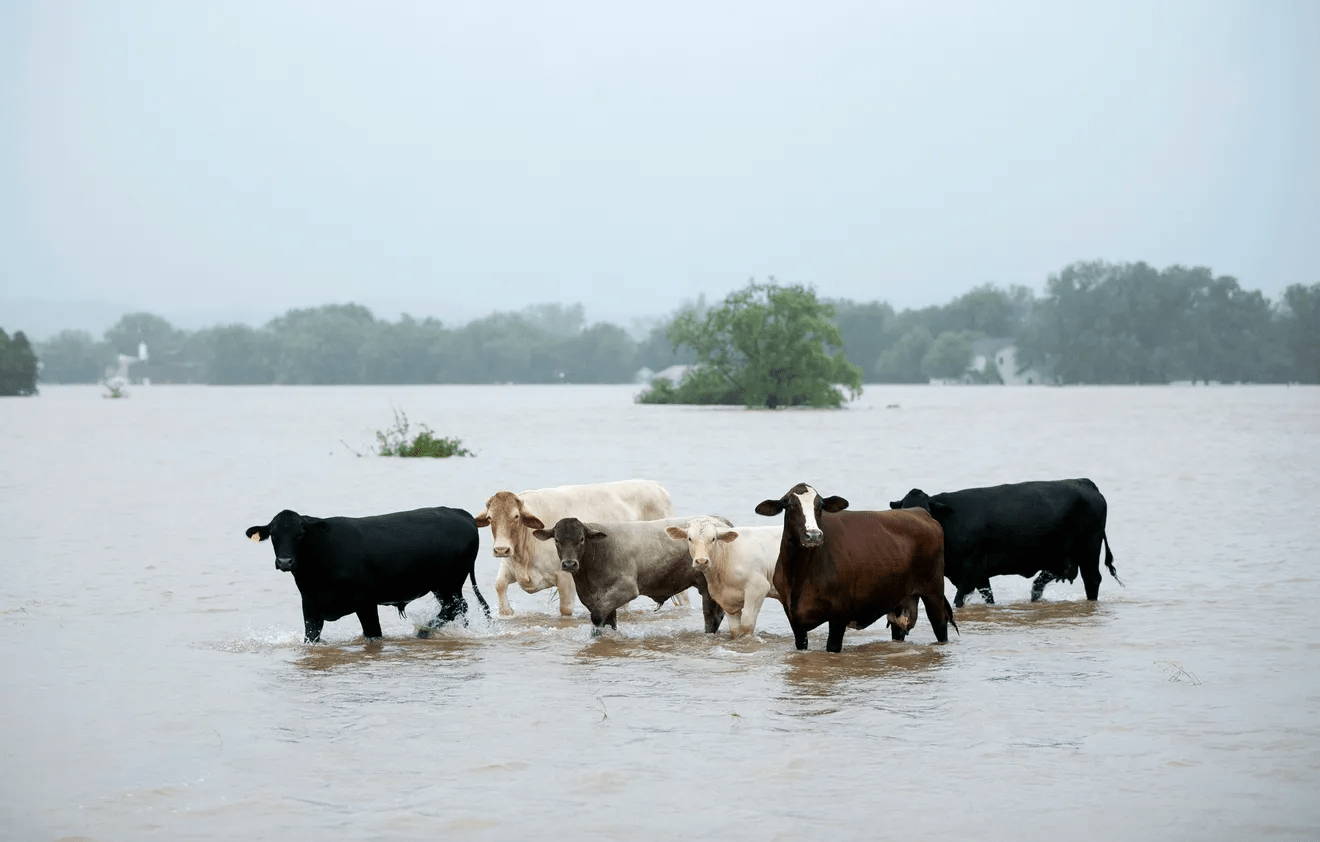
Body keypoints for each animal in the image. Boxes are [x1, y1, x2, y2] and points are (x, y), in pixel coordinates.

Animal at [244, 506, 491, 646]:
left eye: (301, 532)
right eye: (273, 534)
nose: (285, 561)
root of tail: (460, 513)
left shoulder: (365, 603)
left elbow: (374, 635)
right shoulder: (310, 606)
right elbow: (310, 638)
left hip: (448, 583)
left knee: (455, 608)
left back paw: (422, 632)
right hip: (445, 586)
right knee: (458, 610)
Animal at [475, 480, 675, 620]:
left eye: (516, 516)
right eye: (490, 518)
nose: (501, 549)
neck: (524, 556)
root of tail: (655, 485)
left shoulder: (565, 578)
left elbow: (565, 610)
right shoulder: (509, 567)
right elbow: (500, 587)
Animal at [530, 517, 728, 636]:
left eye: (581, 539)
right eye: (557, 540)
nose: (569, 564)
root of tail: (719, 521)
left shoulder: (626, 589)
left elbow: (596, 617)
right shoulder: (599, 597)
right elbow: (607, 621)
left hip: (708, 589)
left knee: (712, 617)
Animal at [755, 485, 960, 657]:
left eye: (820, 505)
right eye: (790, 505)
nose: (813, 535)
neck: (800, 574)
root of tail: (920, 512)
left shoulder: (839, 614)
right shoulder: (793, 617)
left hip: (933, 591)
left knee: (939, 625)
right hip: (900, 600)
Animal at [892, 477, 1119, 609]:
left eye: (926, 511)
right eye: (904, 510)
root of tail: (1084, 482)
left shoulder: (970, 571)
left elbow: (959, 600)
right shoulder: (978, 575)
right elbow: (988, 597)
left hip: (1089, 549)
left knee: (1092, 580)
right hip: (1060, 560)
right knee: (1038, 585)